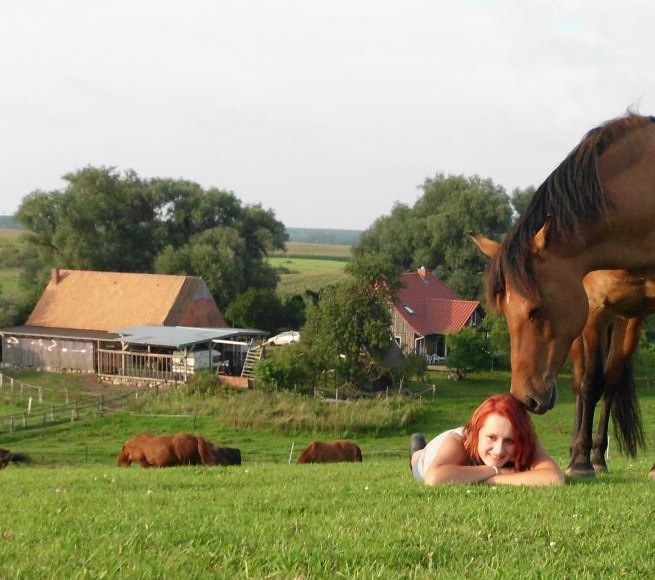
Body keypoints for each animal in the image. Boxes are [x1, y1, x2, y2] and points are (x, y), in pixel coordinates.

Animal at [472, 113, 655, 412]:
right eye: (505, 313)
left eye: (536, 309)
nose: (525, 398)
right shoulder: (594, 313)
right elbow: (589, 386)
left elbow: (596, 386)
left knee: (610, 383)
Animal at [568, 270, 655, 478]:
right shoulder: (594, 305)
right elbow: (591, 384)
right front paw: (581, 464)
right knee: (580, 384)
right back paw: (575, 456)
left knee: (609, 385)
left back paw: (598, 458)